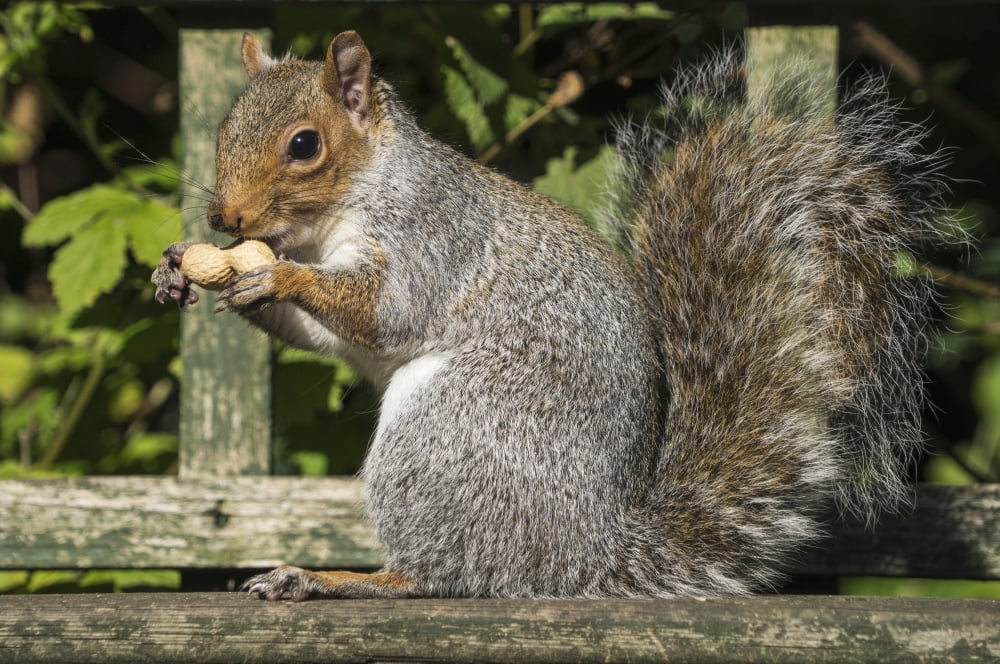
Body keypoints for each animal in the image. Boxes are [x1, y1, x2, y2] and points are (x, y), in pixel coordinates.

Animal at [152, 31, 949, 600]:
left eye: (304, 144)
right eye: (223, 128)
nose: (224, 218)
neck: (342, 209)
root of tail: (583, 556)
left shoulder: (430, 236)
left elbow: (385, 314)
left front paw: (273, 274)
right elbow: (327, 336)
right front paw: (182, 270)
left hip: (450, 427)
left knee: (442, 576)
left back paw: (334, 579)